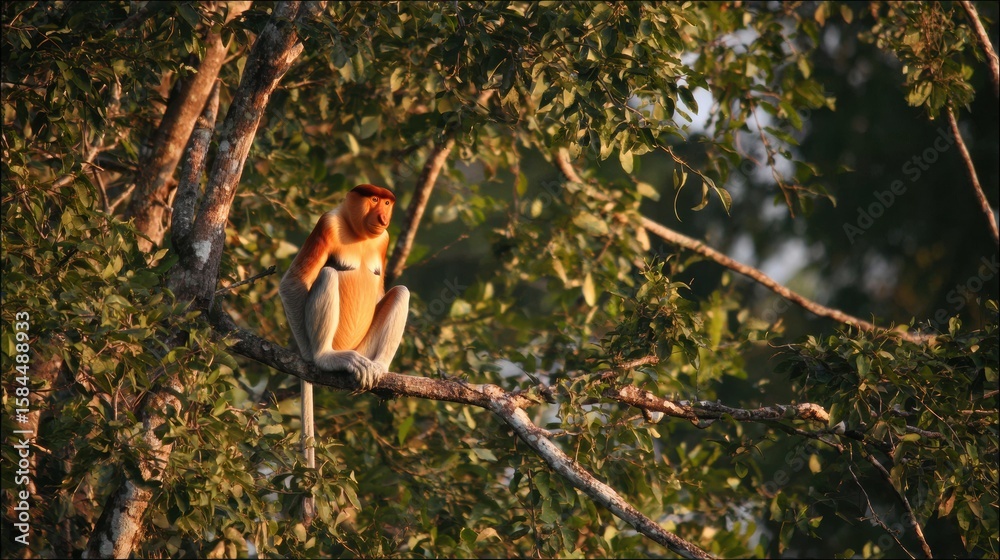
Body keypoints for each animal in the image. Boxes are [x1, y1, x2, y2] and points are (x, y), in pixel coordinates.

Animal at [279, 184, 409, 521]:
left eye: (387, 202)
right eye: (374, 199)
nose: (384, 216)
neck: (357, 233)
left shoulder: (384, 239)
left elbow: (384, 291)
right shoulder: (326, 224)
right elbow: (292, 282)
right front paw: (307, 357)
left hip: (363, 347)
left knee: (400, 292)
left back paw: (379, 368)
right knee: (327, 274)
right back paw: (324, 357)